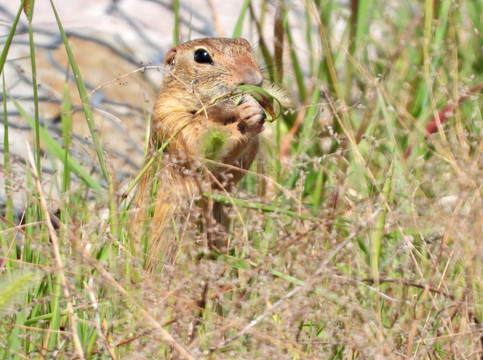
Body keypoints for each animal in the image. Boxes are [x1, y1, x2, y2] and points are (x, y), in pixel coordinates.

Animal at [131, 38, 268, 270]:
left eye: (247, 45)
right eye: (201, 56)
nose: (254, 79)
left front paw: (256, 109)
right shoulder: (169, 115)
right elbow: (198, 140)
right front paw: (246, 114)